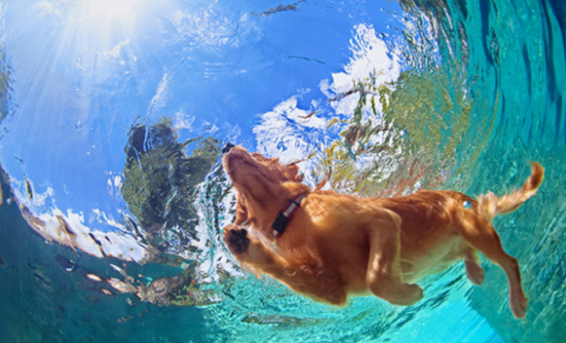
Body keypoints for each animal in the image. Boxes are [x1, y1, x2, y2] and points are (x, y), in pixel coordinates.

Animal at [222, 143, 544, 320]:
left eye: (258, 154)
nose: (226, 146)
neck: (292, 214)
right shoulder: (333, 288)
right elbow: (288, 270)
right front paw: (242, 245)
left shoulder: (383, 220)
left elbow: (376, 277)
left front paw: (408, 294)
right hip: (453, 248)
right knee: (468, 253)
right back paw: (475, 272)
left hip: (473, 229)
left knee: (510, 262)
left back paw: (517, 301)